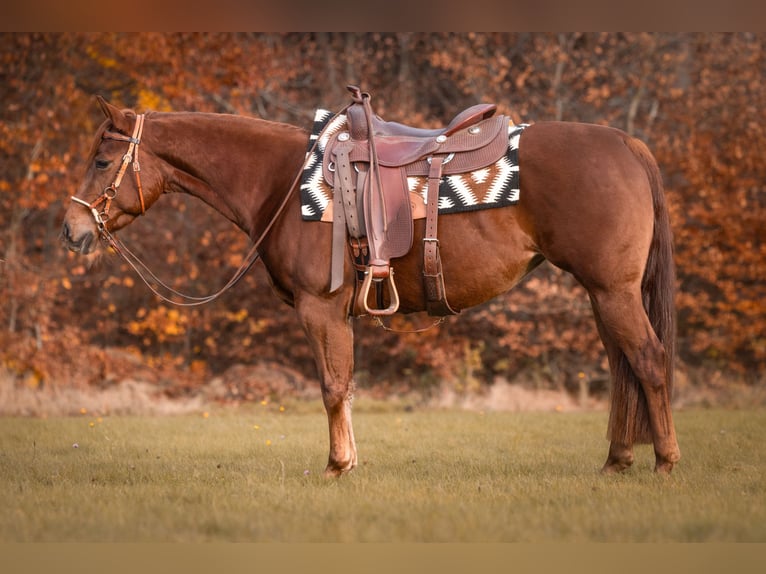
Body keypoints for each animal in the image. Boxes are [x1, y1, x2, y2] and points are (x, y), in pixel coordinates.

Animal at [62, 96, 681, 477]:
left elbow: (333, 386)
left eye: (101, 161)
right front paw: (350, 461)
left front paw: (337, 465)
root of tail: (627, 145)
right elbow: (346, 385)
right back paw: (618, 459)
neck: (283, 181)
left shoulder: (320, 310)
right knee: (623, 366)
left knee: (648, 361)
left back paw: (666, 460)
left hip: (614, 291)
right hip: (604, 296)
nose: (71, 230)